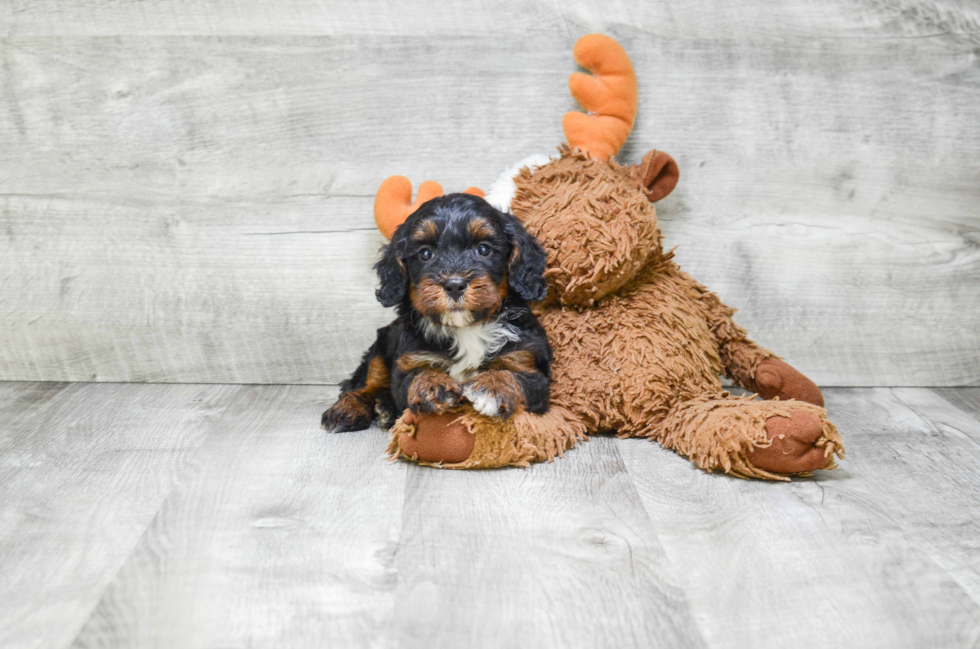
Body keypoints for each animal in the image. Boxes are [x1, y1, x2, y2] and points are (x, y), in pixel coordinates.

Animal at [322, 195, 552, 432]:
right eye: (425, 253)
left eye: (484, 249)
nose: (454, 285)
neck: (466, 328)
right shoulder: (410, 359)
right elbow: (415, 374)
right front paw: (433, 385)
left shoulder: (527, 362)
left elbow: (515, 375)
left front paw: (493, 387)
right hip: (382, 343)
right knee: (364, 383)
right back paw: (350, 409)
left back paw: (384, 409)